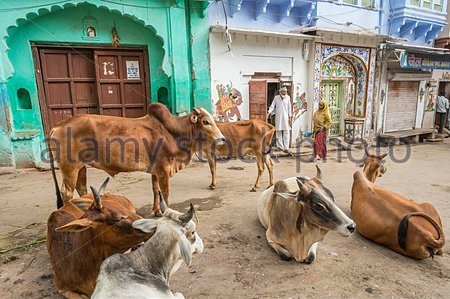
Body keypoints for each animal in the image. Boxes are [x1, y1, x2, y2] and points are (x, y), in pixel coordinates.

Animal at [48, 103, 224, 216]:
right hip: (70, 168)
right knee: (67, 192)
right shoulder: (163, 169)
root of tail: (59, 125)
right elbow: (165, 193)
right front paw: (167, 212)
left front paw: (157, 211)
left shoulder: (156, 170)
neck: (171, 132)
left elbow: (155, 190)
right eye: (205, 121)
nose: (222, 138)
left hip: (81, 167)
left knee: (81, 189)